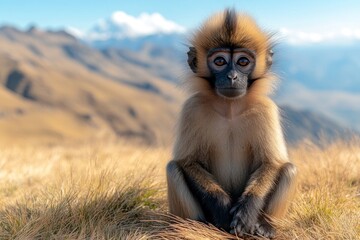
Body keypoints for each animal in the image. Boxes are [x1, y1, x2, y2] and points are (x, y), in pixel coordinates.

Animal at [167, 8, 298, 239]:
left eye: (243, 62)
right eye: (220, 61)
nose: (232, 76)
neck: (229, 108)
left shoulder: (265, 108)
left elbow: (271, 162)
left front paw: (247, 211)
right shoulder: (192, 108)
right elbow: (187, 162)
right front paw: (221, 207)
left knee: (289, 169)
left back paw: (265, 228)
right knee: (173, 168)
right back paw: (195, 227)